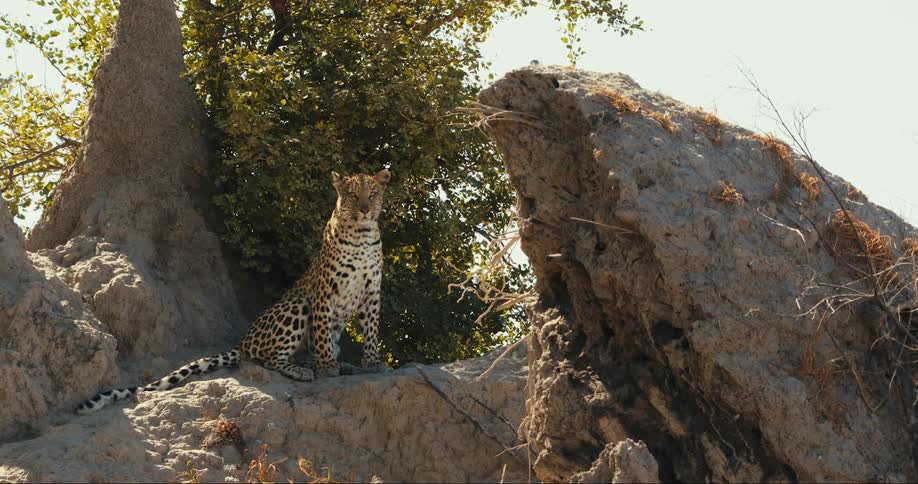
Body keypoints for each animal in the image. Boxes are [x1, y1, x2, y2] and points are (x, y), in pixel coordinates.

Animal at [76, 169, 392, 414]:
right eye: (352, 194)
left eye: (373, 193)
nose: (364, 208)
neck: (362, 235)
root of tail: (242, 343)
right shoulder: (325, 290)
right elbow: (323, 333)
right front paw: (327, 366)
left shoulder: (372, 291)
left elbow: (372, 328)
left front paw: (372, 363)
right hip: (298, 303)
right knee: (269, 361)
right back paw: (306, 369)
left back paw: (341, 365)